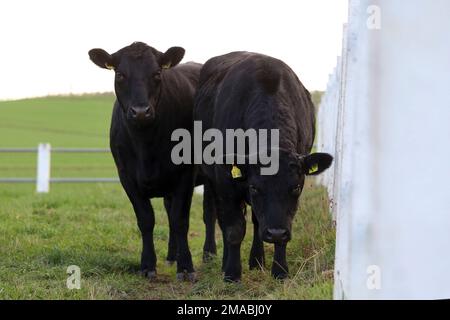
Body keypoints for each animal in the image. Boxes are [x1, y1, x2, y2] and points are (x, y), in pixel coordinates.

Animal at [89, 42, 215, 280]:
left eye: (157, 74)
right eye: (120, 74)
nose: (140, 112)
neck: (145, 145)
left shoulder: (186, 174)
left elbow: (180, 220)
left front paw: (186, 267)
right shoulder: (126, 177)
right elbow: (147, 220)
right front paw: (148, 265)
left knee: (209, 213)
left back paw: (209, 254)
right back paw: (172, 255)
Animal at [194, 51, 334, 282]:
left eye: (295, 187)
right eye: (254, 187)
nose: (275, 232)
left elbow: (272, 222)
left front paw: (280, 270)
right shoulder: (224, 181)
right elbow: (233, 229)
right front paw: (232, 274)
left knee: (256, 220)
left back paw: (257, 260)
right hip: (207, 176)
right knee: (213, 215)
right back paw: (214, 256)